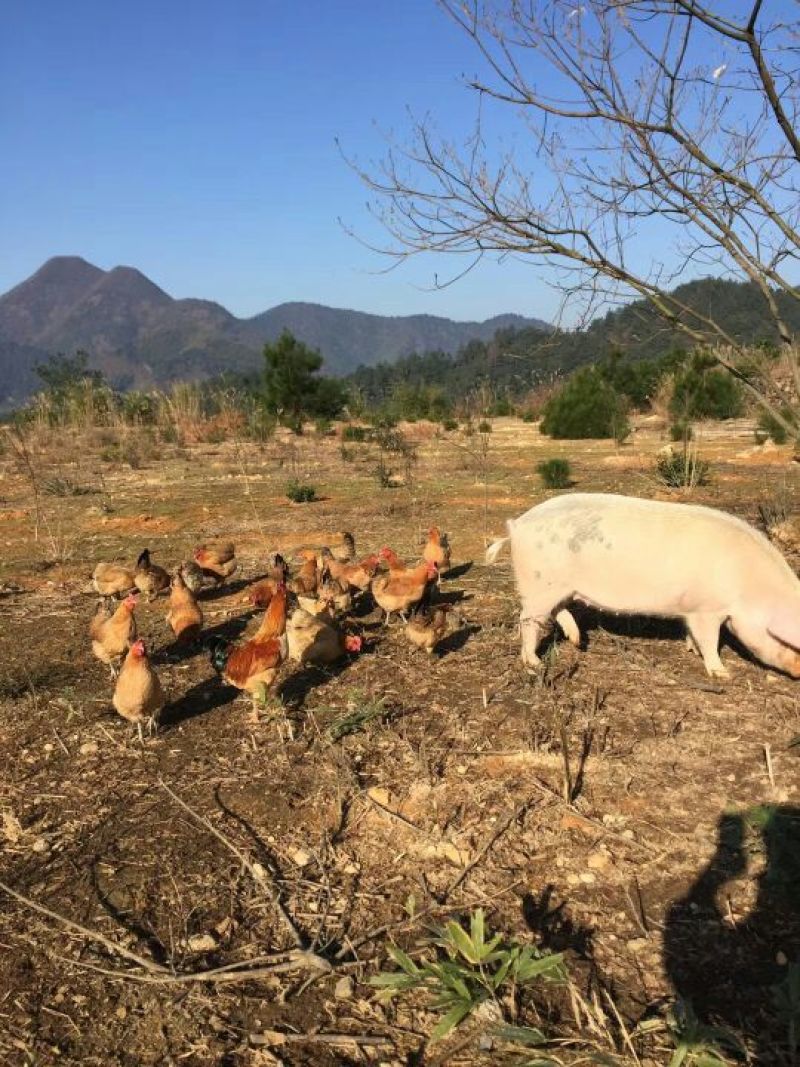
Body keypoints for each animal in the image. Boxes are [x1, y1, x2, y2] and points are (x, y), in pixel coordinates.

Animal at [486, 492, 800, 678]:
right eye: (786, 641)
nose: (797, 671)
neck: (748, 584)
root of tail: (517, 525)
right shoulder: (706, 609)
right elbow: (710, 639)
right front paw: (722, 673)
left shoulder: (693, 610)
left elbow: (693, 634)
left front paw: (691, 650)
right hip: (539, 582)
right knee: (528, 620)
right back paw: (535, 664)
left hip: (558, 586)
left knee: (557, 611)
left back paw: (578, 643)